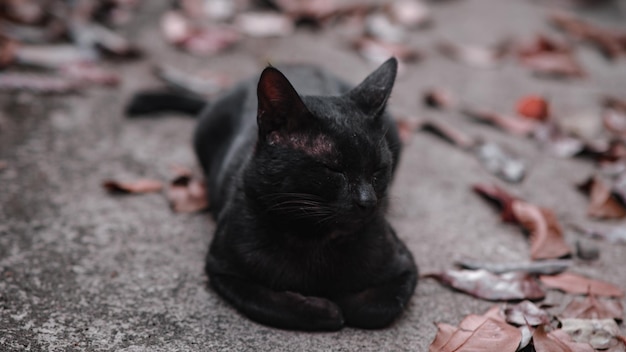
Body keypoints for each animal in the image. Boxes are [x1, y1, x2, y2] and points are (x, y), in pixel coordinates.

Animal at [193, 57, 416, 330]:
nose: (368, 201)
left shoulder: (404, 264)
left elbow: (374, 310)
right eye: (334, 169)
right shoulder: (223, 269)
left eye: (378, 169)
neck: (314, 239)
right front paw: (325, 308)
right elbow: (270, 303)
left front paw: (345, 299)